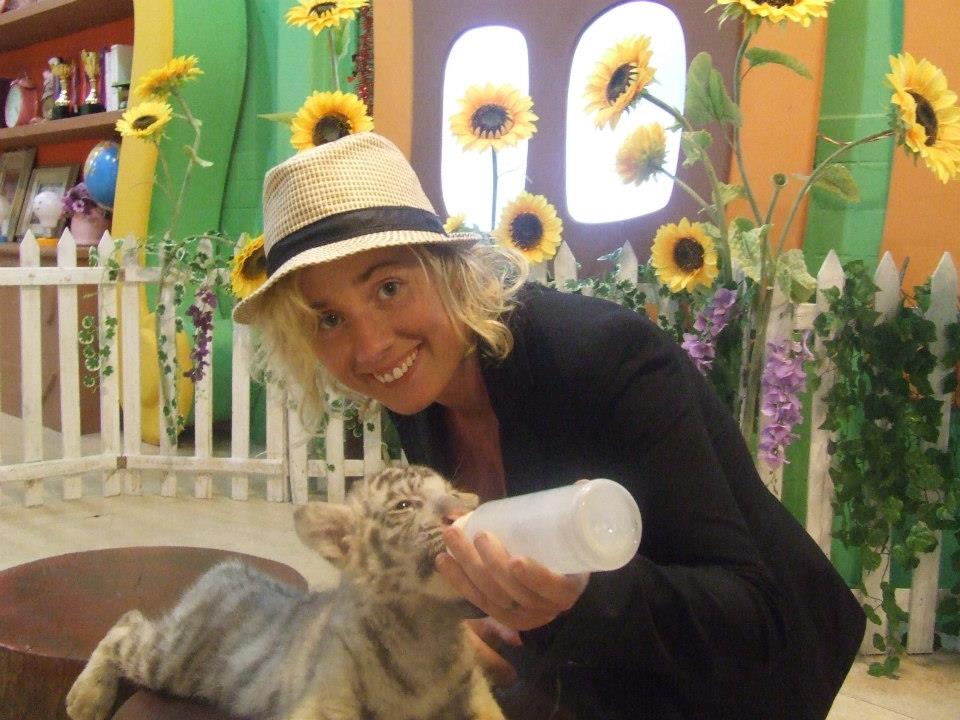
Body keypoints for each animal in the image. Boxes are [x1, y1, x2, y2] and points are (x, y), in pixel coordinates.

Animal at [65, 465, 506, 720]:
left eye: (452, 492)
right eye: (404, 505)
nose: (461, 513)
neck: (424, 624)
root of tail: (229, 566)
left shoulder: (474, 695)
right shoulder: (326, 699)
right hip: (171, 660)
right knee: (127, 623)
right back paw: (85, 699)